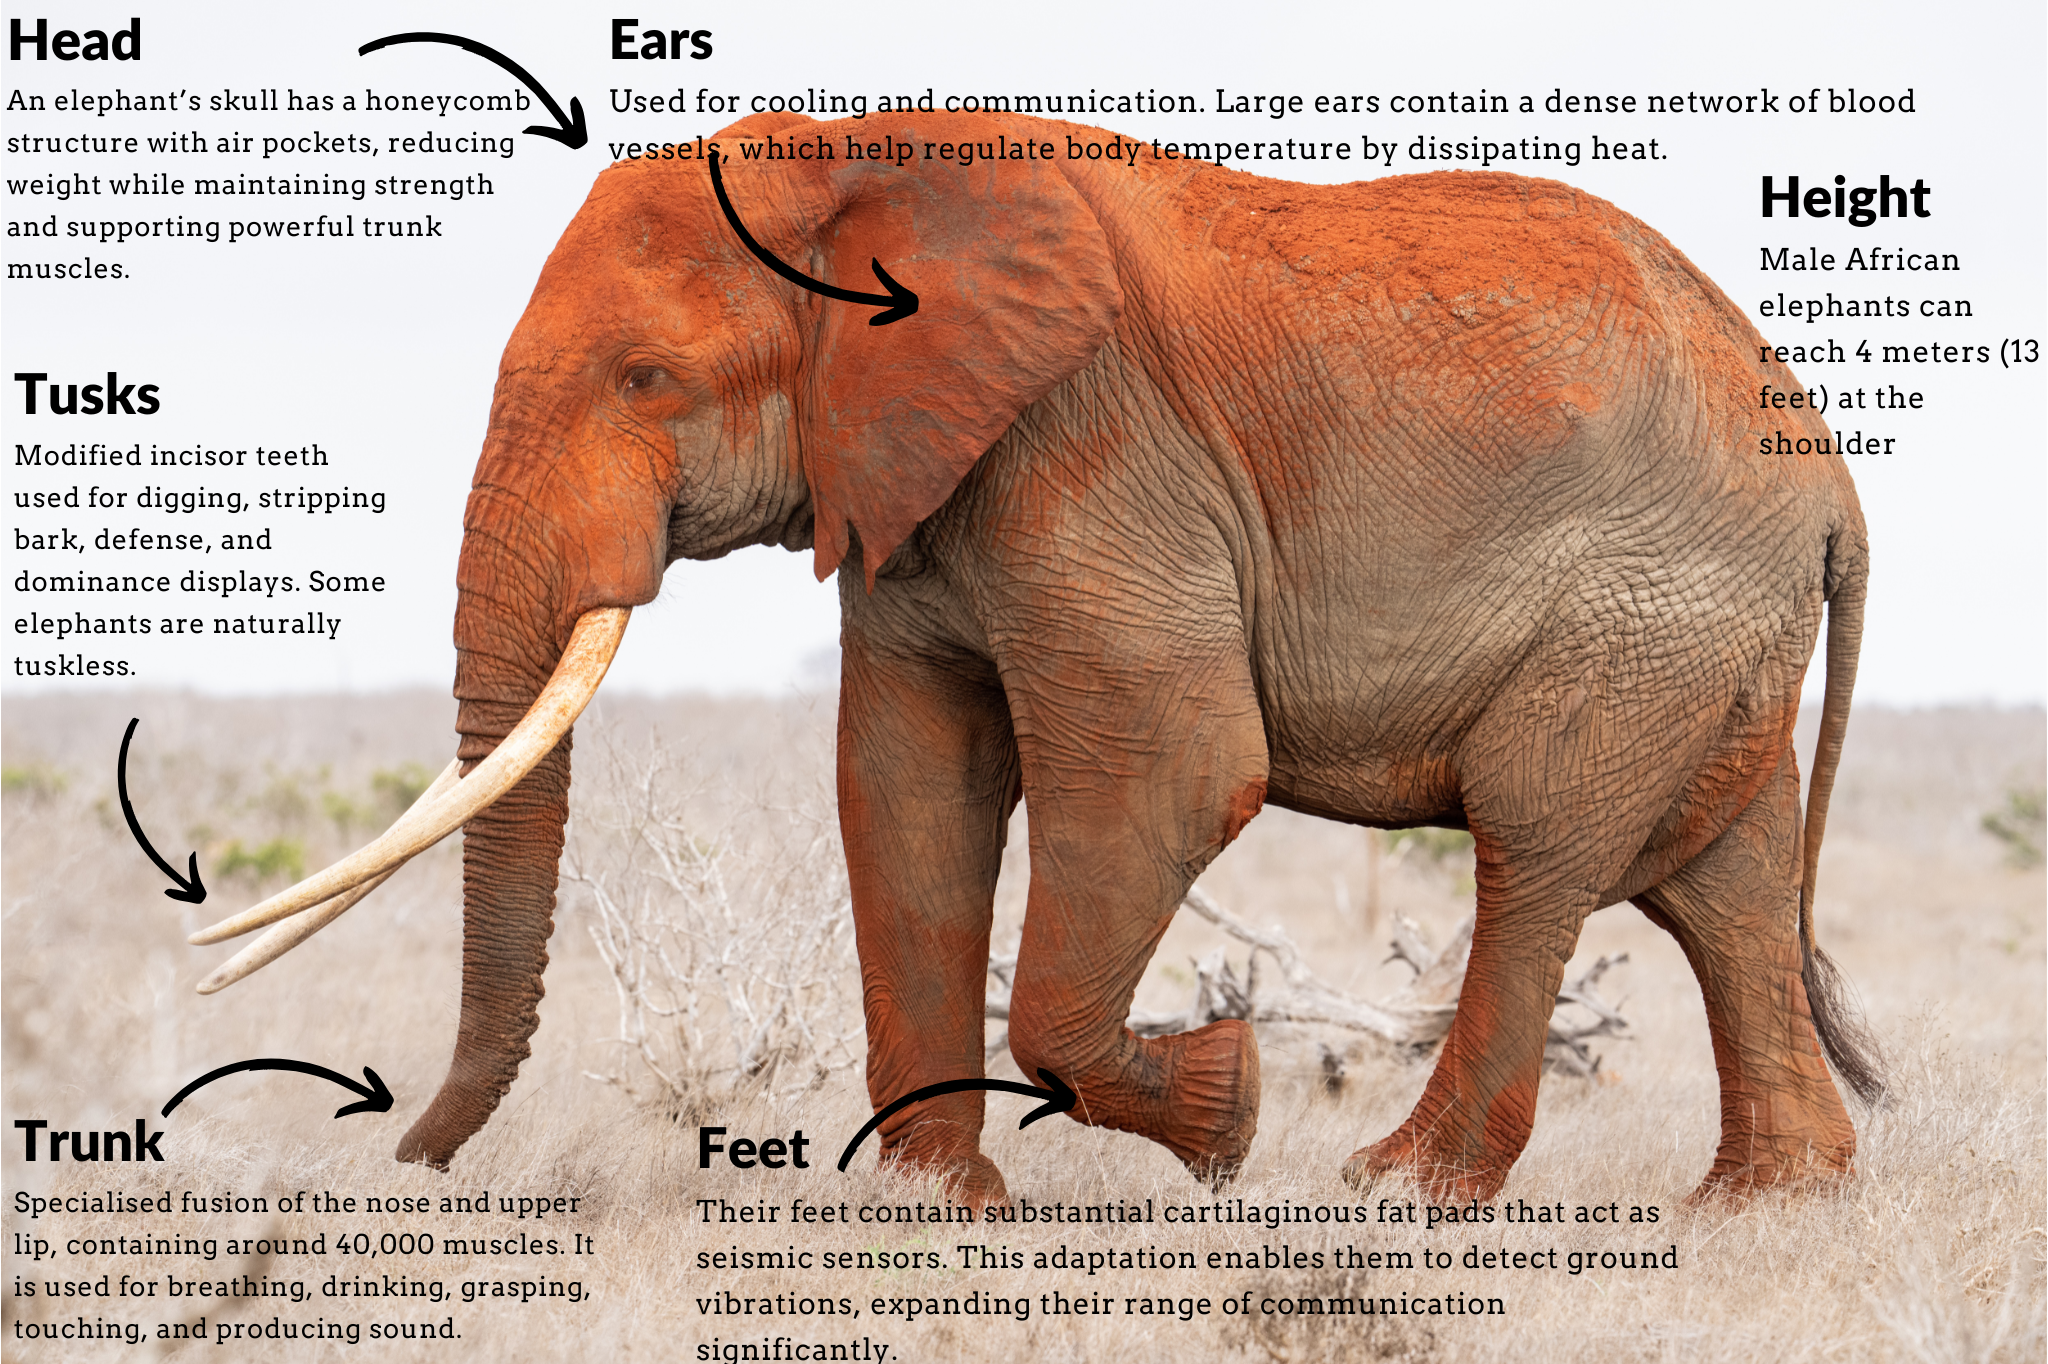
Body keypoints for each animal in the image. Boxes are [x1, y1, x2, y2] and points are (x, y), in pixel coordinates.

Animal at [193, 110, 1881, 1207]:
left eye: (648, 378)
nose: (404, 1153)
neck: (857, 157)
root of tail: (1830, 471)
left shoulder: (1096, 449)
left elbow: (1174, 777)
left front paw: (1230, 1113)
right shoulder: (911, 480)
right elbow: (905, 787)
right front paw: (930, 1212)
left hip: (1646, 598)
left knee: (1539, 844)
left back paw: (1396, 1189)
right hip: (1705, 625)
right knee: (1719, 880)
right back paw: (1769, 1209)